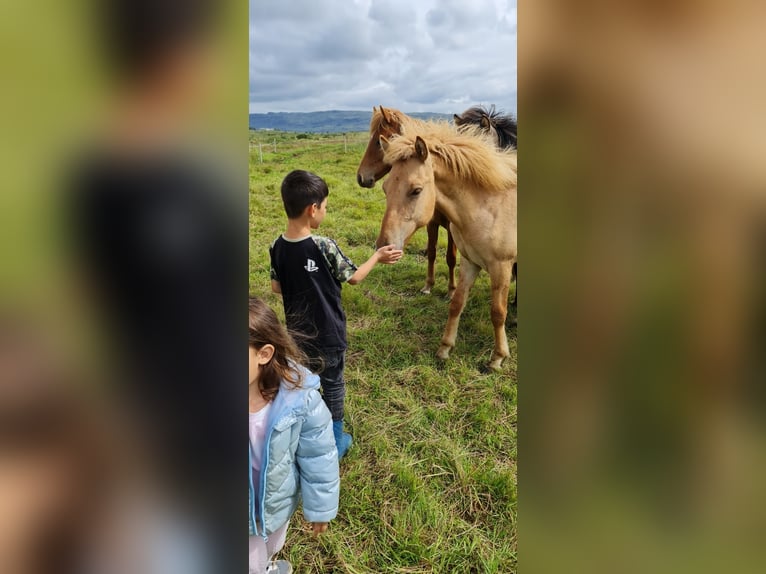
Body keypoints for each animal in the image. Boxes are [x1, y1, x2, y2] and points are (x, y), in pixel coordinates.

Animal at [376, 123, 520, 372]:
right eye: (385, 188)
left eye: (416, 190)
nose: (384, 247)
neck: (490, 207)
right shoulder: (470, 263)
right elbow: (457, 303)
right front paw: (445, 348)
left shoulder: (501, 267)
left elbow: (497, 312)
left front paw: (497, 357)